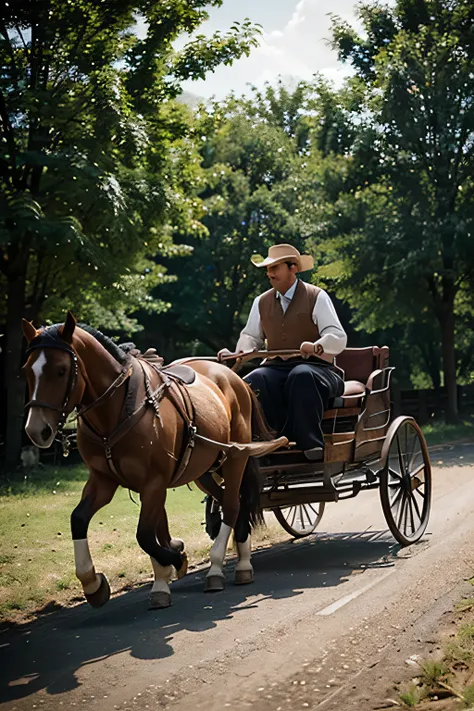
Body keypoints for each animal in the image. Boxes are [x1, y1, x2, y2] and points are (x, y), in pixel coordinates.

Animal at [21, 314, 286, 608]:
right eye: (27, 370)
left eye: (60, 370)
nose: (36, 430)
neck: (118, 407)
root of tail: (234, 379)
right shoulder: (104, 481)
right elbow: (81, 519)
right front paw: (95, 583)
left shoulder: (154, 483)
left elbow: (146, 535)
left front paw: (176, 559)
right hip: (204, 469)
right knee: (232, 501)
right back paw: (240, 557)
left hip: (235, 459)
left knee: (230, 506)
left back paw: (222, 567)